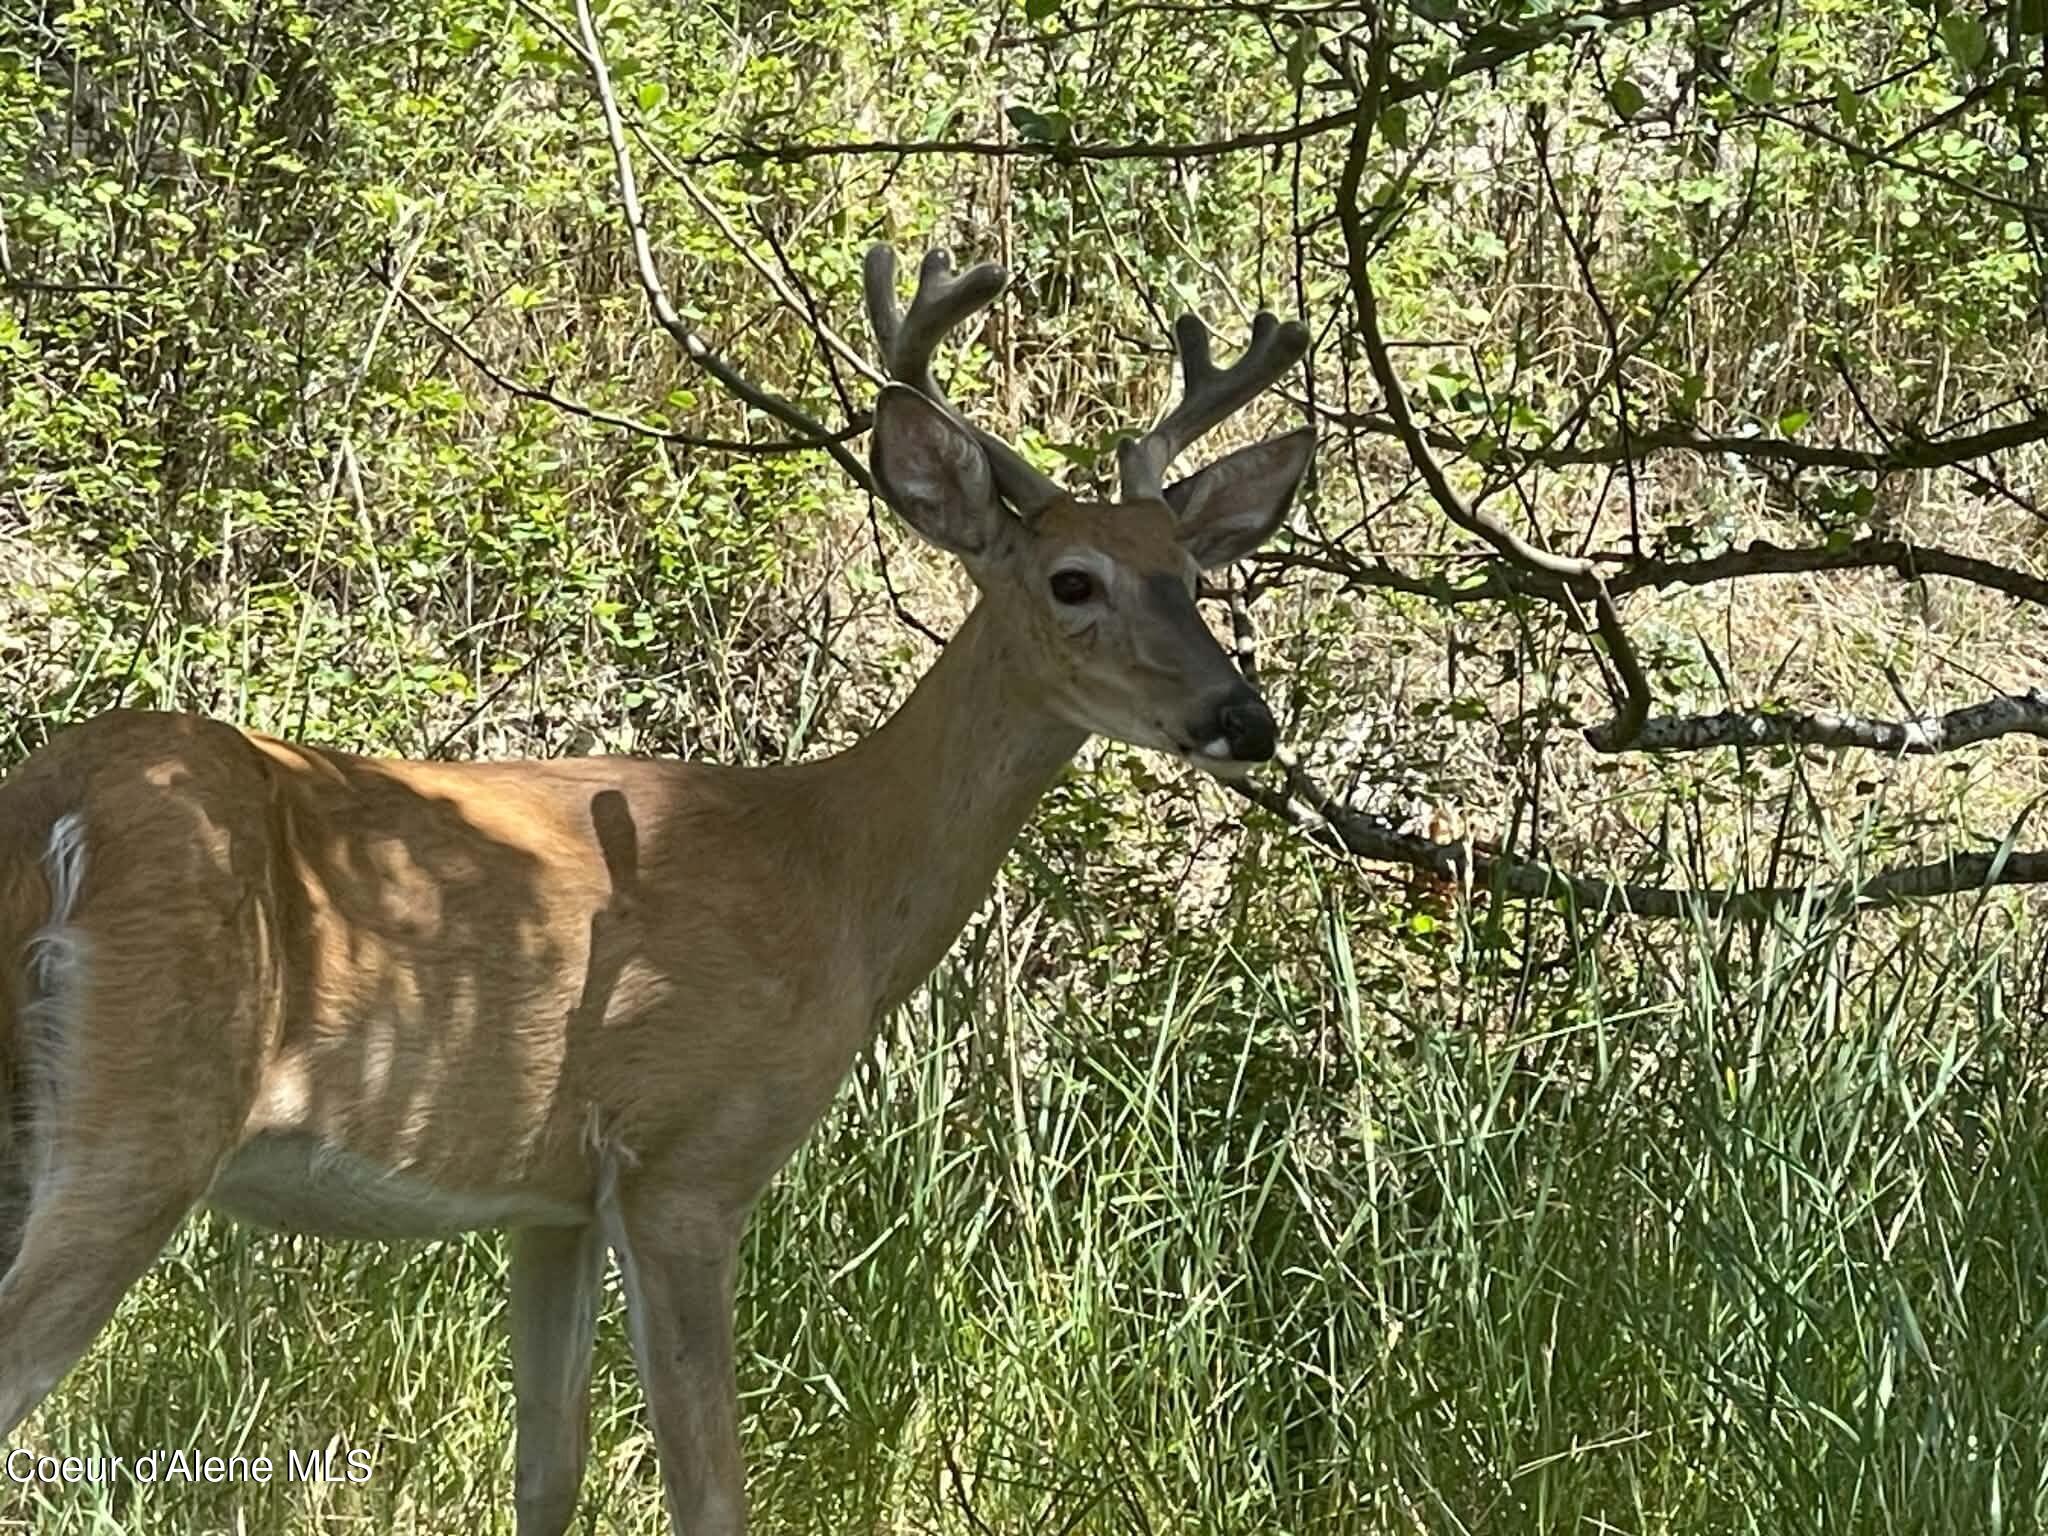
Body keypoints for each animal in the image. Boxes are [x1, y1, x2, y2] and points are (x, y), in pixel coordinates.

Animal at [0, 244, 1313, 1534]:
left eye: (1192, 576)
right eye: (1072, 581)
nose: (1242, 718)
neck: (832, 869)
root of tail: (52, 804)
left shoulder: (551, 1199)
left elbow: (549, 1469)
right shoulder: (686, 1153)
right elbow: (708, 1489)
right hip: (146, 1114)